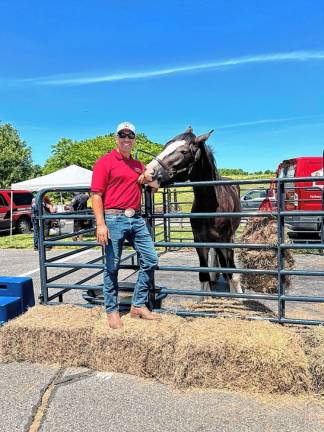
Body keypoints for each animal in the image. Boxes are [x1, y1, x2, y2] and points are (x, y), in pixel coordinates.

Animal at [146, 125, 242, 294]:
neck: (210, 207)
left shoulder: (227, 240)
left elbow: (232, 273)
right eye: (165, 146)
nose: (149, 172)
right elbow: (204, 276)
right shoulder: (200, 242)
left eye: (184, 151)